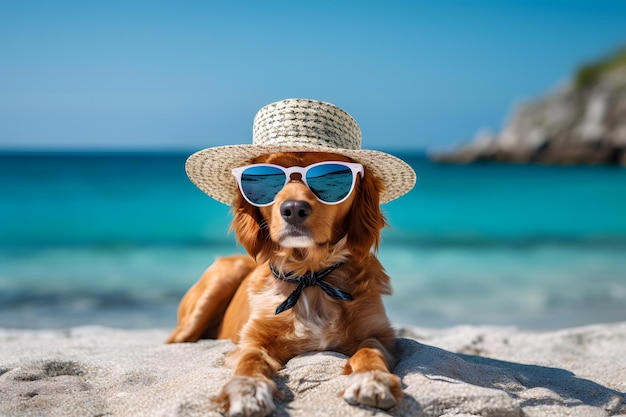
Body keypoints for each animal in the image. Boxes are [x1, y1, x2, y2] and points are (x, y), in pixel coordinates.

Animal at [165, 98, 414, 416]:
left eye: (332, 175)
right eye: (266, 178)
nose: (294, 209)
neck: (309, 275)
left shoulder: (378, 334)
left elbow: (370, 352)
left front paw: (373, 379)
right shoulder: (252, 341)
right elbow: (250, 361)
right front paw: (246, 390)